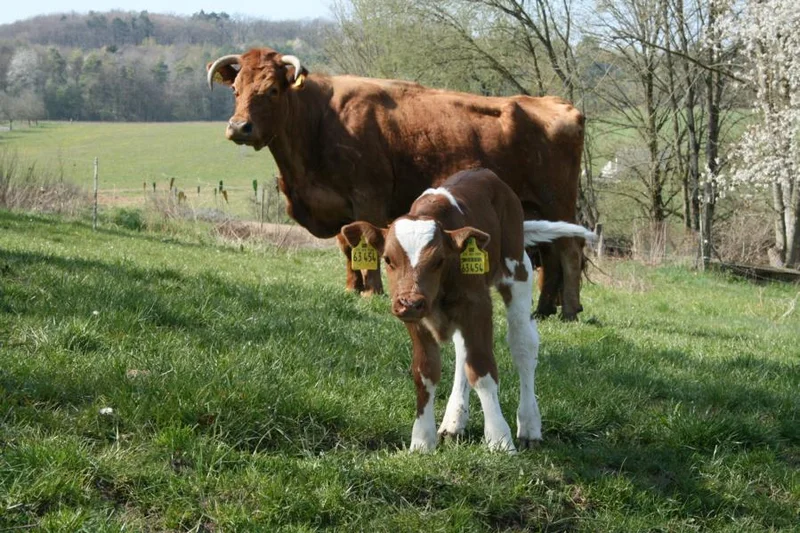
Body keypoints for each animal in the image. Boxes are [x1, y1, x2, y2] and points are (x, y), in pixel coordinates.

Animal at [207, 48, 587, 319]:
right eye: (236, 90)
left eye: (272, 90)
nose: (239, 127)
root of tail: (555, 102)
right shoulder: (338, 206)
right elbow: (348, 247)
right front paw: (352, 288)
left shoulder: (368, 198)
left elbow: (368, 243)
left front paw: (372, 290)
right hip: (536, 210)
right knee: (552, 254)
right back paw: (543, 309)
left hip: (559, 203)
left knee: (569, 251)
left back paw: (568, 311)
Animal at [339, 169, 595, 452]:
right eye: (387, 259)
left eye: (439, 260)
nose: (411, 302)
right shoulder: (417, 320)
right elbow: (425, 372)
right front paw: (422, 440)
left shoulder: (478, 306)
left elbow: (482, 370)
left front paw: (499, 439)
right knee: (464, 353)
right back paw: (453, 423)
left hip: (518, 272)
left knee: (523, 346)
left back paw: (529, 426)